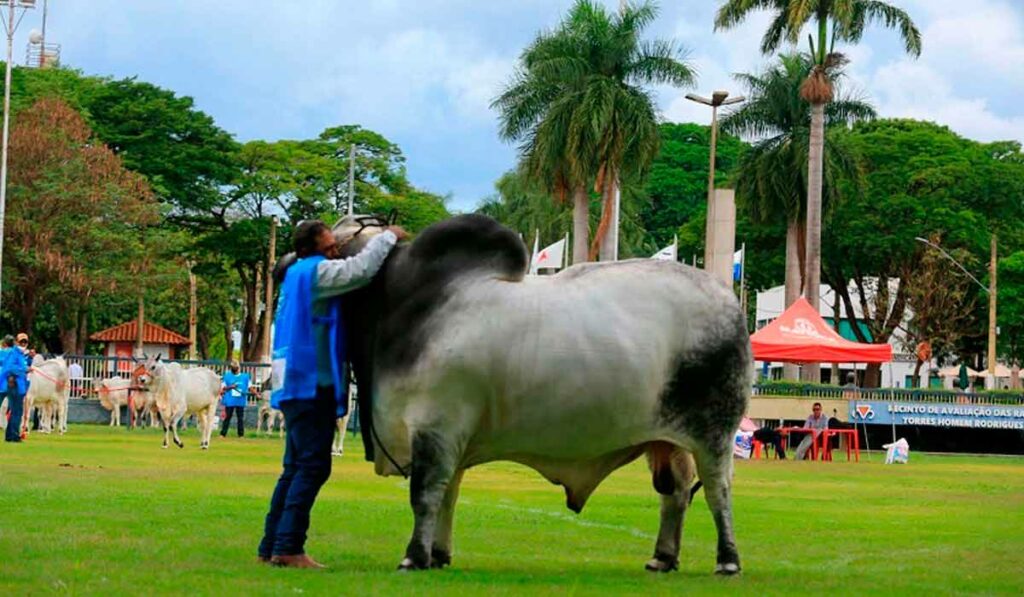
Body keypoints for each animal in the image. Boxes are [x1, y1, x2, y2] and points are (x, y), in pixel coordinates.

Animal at [327, 214, 753, 573]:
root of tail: (729, 301)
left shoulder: (436, 426)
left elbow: (426, 493)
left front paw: (414, 557)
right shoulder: (451, 438)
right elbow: (449, 493)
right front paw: (438, 555)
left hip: (714, 433)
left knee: (718, 491)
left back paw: (728, 561)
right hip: (666, 441)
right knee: (675, 491)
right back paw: (663, 558)